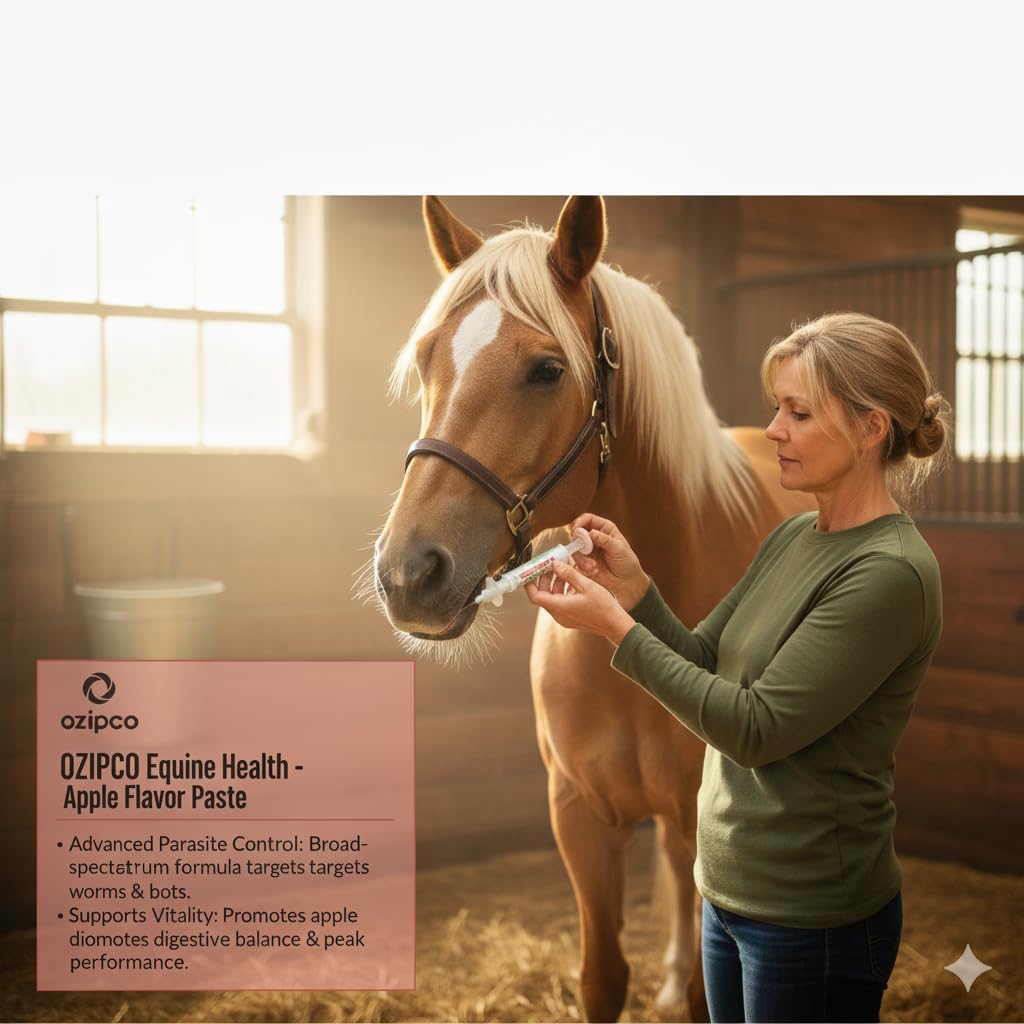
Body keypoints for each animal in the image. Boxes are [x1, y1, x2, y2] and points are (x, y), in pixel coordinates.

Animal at [371, 196, 813, 1022]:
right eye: (426, 360)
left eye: (547, 370)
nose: (409, 574)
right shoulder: (577, 815)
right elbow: (602, 975)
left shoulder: (705, 823)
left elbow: (710, 990)